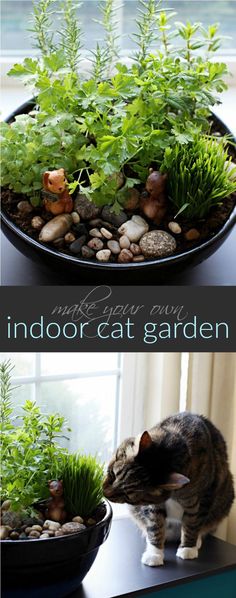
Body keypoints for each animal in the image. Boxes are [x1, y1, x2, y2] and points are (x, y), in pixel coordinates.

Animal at [103, 414, 234, 568]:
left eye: (128, 497)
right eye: (112, 474)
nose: (105, 493)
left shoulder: (203, 496)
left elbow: (192, 522)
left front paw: (188, 547)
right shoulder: (154, 505)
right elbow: (155, 526)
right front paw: (154, 553)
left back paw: (197, 541)